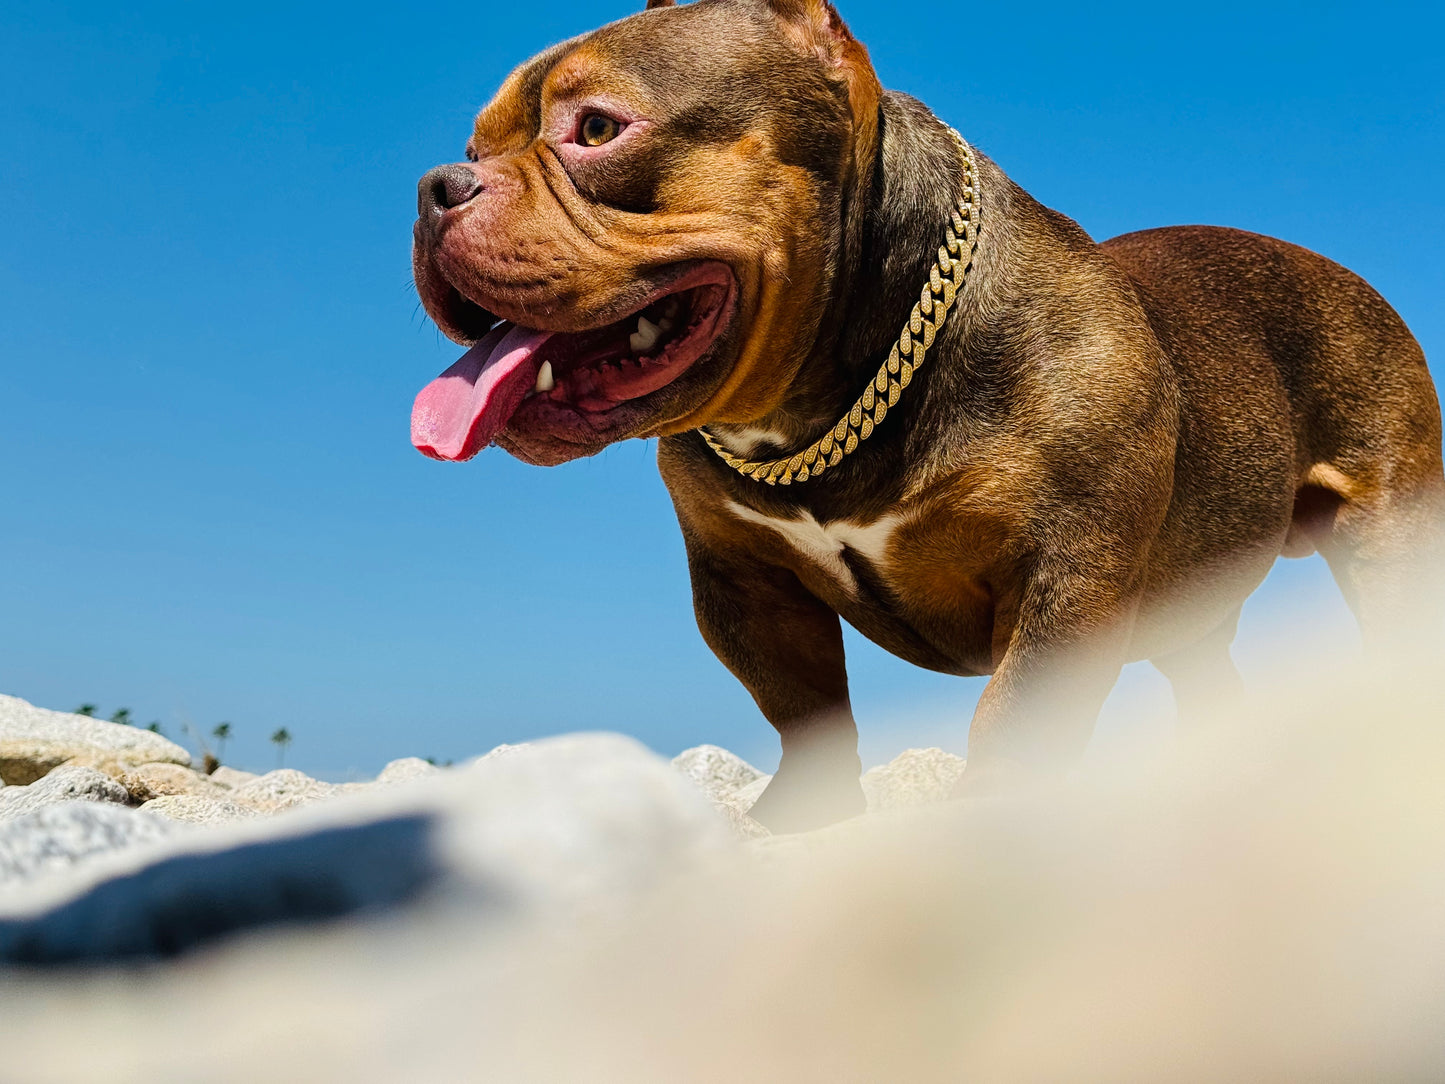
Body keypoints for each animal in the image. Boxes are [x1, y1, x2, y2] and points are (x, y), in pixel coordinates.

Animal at [410, 0, 1445, 832]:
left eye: (595, 128)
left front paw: (990, 799)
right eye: (474, 151)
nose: (434, 188)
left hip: (1389, 535)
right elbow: (802, 706)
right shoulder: (742, 582)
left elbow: (1017, 707)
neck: (823, 406)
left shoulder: (1065, 570)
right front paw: (804, 813)